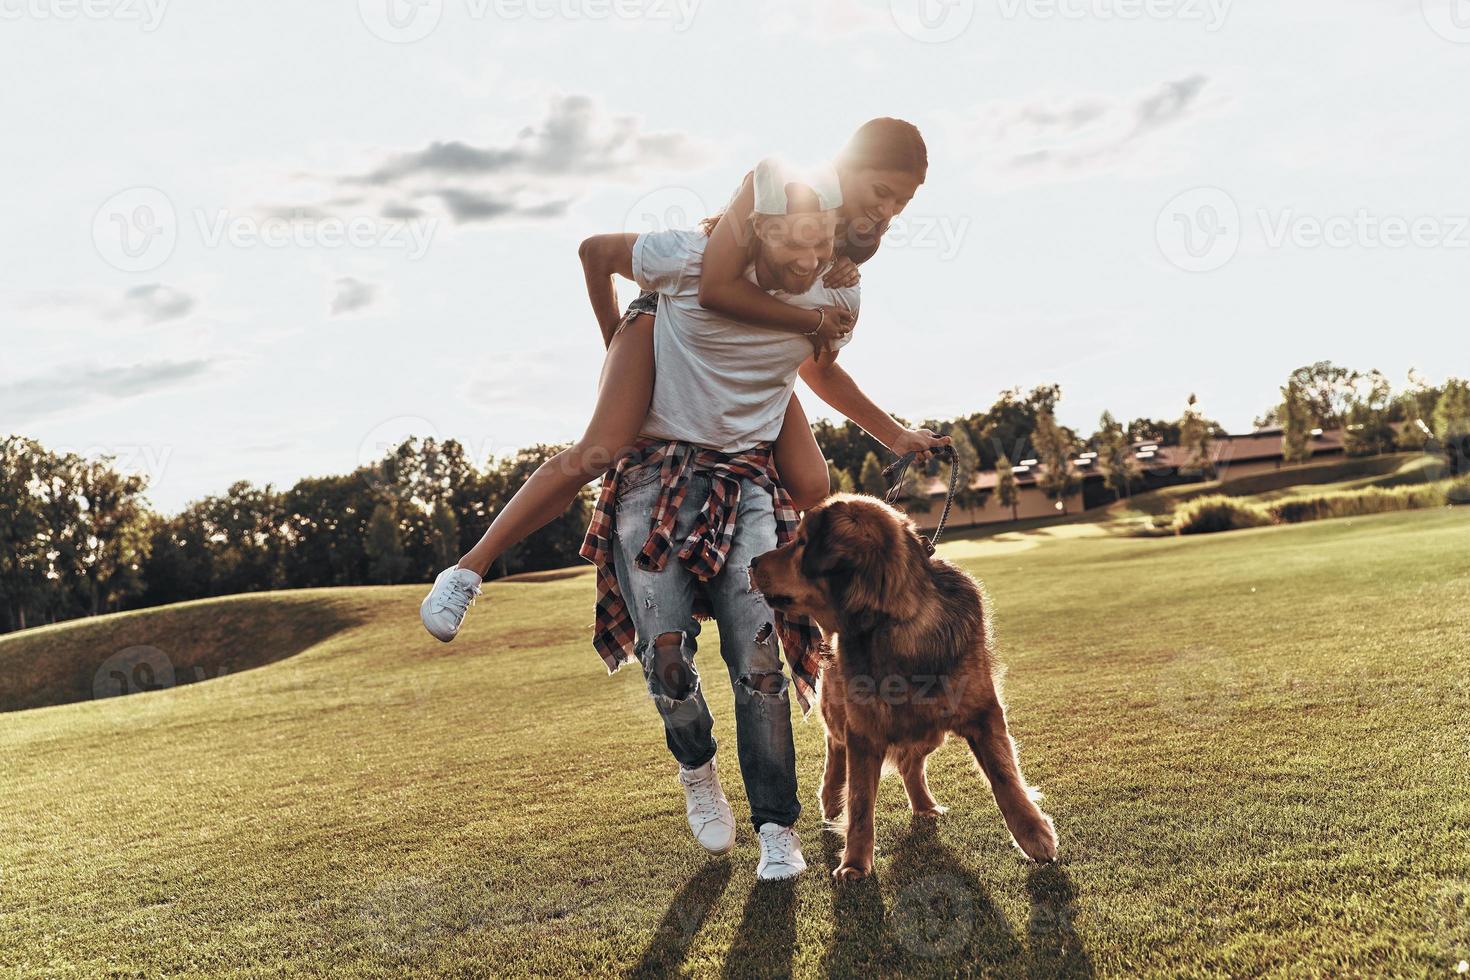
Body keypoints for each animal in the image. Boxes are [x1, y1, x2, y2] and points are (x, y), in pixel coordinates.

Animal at [752, 493, 1052, 875]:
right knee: (836, 747)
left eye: (802, 542)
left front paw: (1034, 834)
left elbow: (1004, 776)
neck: (894, 623)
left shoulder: (983, 713)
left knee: (911, 764)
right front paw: (855, 863)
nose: (751, 561)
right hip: (848, 716)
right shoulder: (863, 730)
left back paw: (924, 805)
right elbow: (860, 800)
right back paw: (831, 797)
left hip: (929, 730)